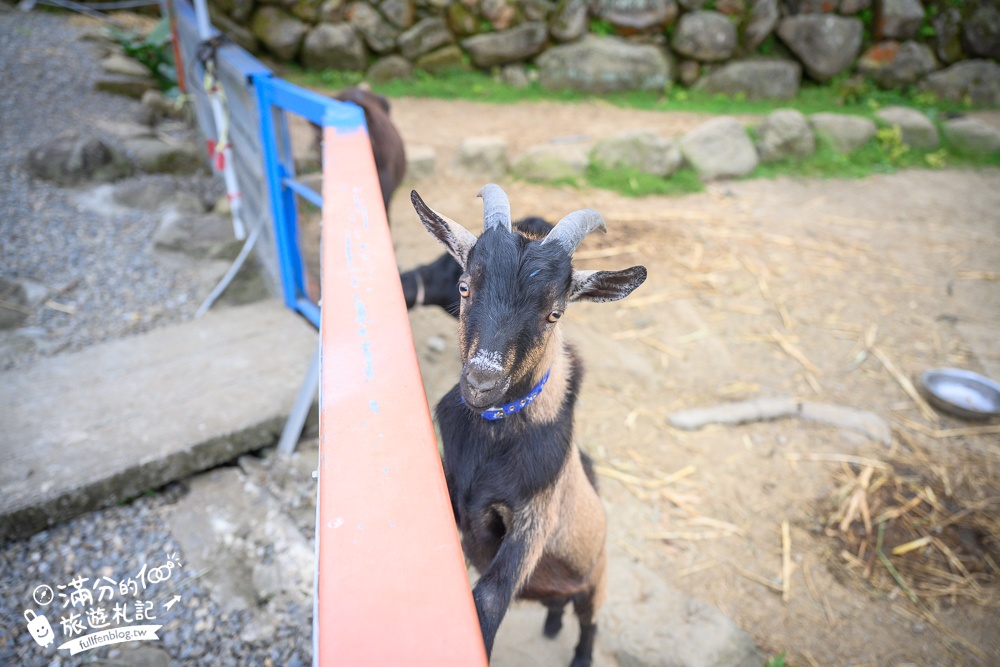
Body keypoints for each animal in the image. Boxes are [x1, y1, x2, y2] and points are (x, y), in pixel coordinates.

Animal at [408, 184, 648, 667]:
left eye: (554, 313)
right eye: (464, 286)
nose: (482, 381)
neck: (491, 440)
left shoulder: (535, 515)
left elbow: (490, 596)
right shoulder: (453, 484)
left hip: (596, 578)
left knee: (590, 621)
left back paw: (579, 655)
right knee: (560, 605)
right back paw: (552, 622)